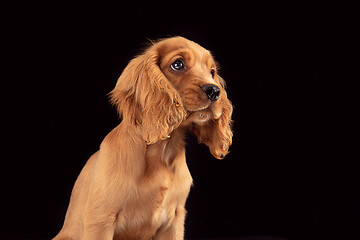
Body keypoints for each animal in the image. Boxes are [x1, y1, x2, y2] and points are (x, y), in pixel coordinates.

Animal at [53, 36, 233, 240]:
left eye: (212, 72)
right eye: (177, 64)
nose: (215, 91)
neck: (162, 150)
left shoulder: (174, 220)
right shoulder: (100, 217)